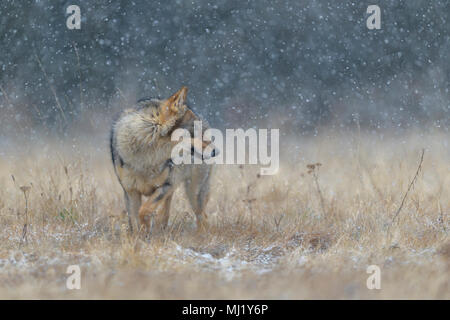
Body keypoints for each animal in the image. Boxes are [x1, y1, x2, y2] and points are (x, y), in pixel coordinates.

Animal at [110, 86, 217, 234]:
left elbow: (144, 211)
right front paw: (140, 236)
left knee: (203, 217)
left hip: (193, 193)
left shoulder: (165, 186)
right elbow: (136, 221)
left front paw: (146, 231)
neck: (147, 158)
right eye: (195, 132)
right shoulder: (130, 192)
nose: (216, 151)